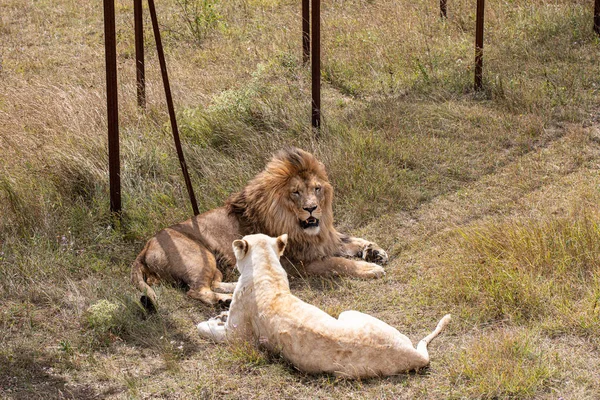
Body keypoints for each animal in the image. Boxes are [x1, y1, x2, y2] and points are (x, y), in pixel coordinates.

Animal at [130, 148, 390, 308]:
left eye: (317, 189)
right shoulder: (298, 263)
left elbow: (350, 240)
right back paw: (225, 300)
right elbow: (338, 262)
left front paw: (374, 251)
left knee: (211, 282)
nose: (312, 209)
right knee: (196, 290)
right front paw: (369, 268)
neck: (296, 225)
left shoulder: (323, 238)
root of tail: (145, 247)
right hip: (199, 255)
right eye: (296, 192)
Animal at [197, 233, 450, 376]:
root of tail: (414, 355)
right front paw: (218, 316)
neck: (266, 268)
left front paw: (209, 322)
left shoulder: (237, 337)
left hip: (347, 313)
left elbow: (209, 331)